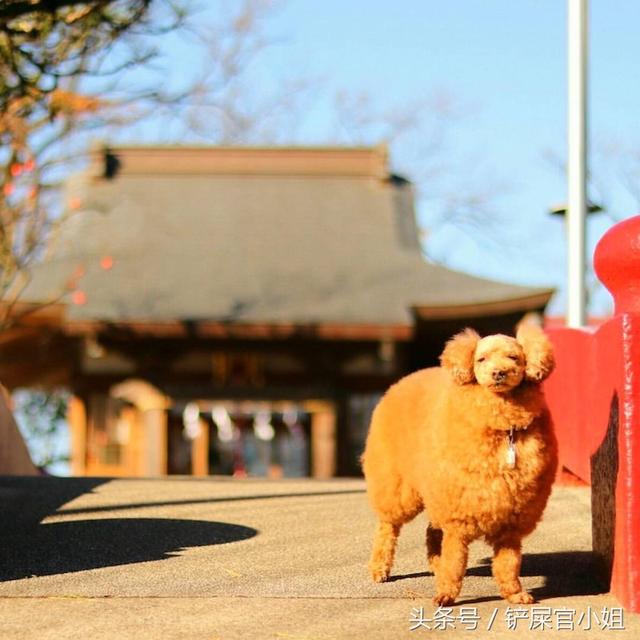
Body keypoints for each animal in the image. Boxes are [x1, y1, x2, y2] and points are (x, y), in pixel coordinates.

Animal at [362, 324, 556, 604]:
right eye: (481, 359)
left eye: (514, 358)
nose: (499, 373)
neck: (502, 428)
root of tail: (400, 382)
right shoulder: (458, 516)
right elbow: (455, 560)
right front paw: (446, 595)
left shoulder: (511, 518)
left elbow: (508, 563)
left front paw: (514, 594)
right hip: (399, 487)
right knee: (388, 526)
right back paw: (379, 568)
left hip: (435, 488)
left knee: (433, 531)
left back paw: (435, 564)